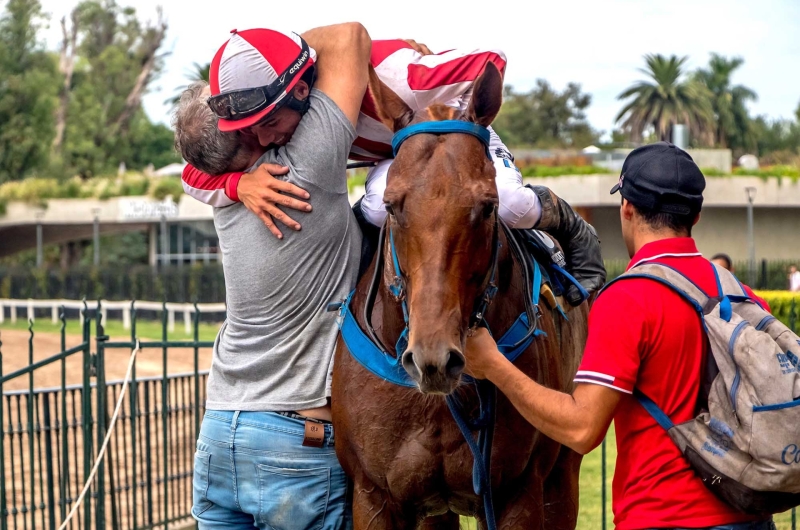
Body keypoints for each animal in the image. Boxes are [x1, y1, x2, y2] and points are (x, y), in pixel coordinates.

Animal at [330, 64, 588, 524]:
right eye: (392, 205)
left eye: (487, 206)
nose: (432, 359)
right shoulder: (372, 495)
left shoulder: (520, 491)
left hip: (562, 474)